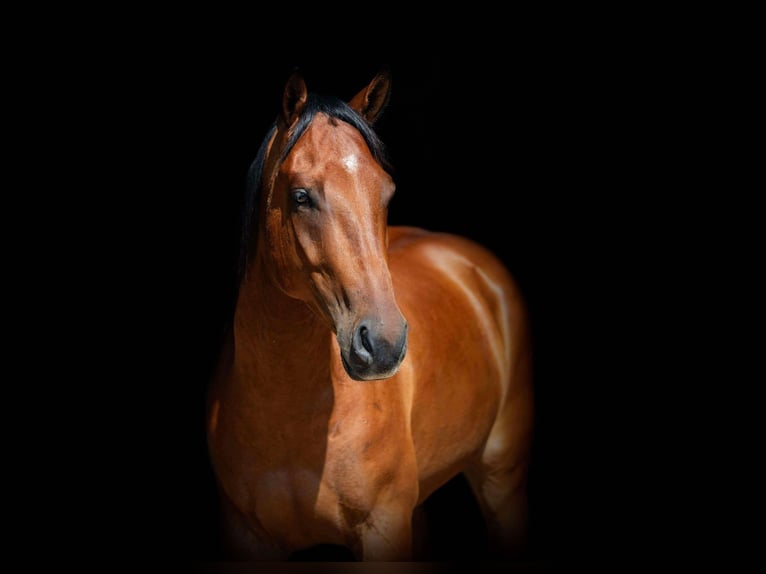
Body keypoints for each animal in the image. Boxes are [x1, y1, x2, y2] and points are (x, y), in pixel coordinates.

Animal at [207, 67, 536, 564]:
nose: (383, 344)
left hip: (501, 480)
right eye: (300, 195)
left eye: (387, 191)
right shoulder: (247, 539)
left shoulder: (383, 528)